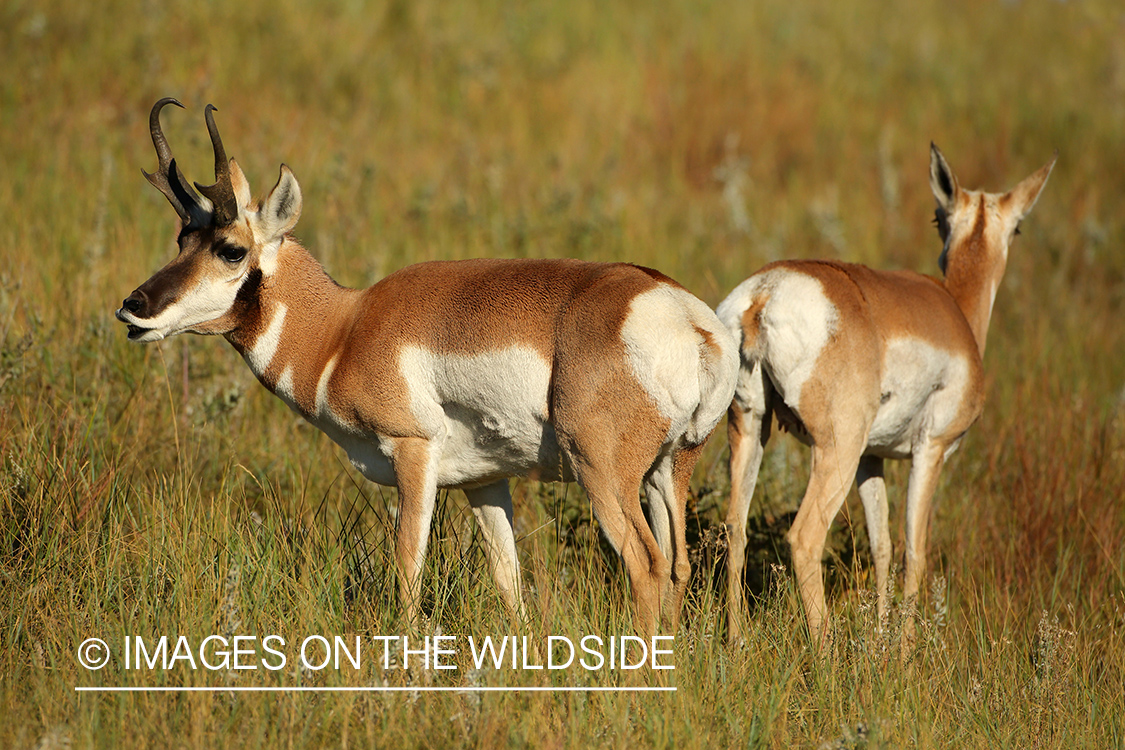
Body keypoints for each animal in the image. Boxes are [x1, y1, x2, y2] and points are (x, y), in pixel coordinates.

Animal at [118, 98, 738, 638]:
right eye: (181, 239)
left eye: (231, 249)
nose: (133, 307)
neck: (345, 328)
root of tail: (686, 317)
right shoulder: (484, 482)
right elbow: (508, 580)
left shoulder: (413, 453)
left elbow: (407, 570)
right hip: (668, 470)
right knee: (678, 565)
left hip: (603, 474)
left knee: (645, 564)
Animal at [720, 145, 1053, 647]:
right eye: (1018, 226)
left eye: (938, 217)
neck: (954, 310)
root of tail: (765, 293)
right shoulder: (930, 451)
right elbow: (915, 550)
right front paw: (905, 651)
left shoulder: (871, 460)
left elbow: (882, 546)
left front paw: (880, 637)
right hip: (834, 451)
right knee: (804, 538)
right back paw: (826, 653)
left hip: (751, 430)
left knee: (734, 529)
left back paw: (738, 643)